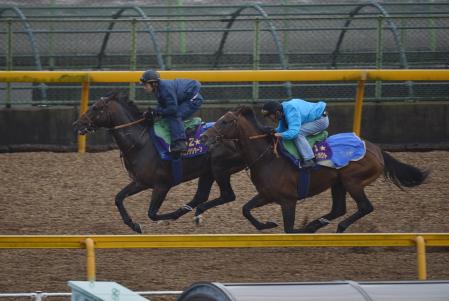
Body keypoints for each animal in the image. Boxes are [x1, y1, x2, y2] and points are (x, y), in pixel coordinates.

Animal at [72, 91, 245, 232]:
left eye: (96, 107)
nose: (77, 124)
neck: (141, 143)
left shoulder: (162, 185)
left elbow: (152, 214)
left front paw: (162, 221)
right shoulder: (141, 182)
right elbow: (118, 198)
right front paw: (133, 225)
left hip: (219, 168)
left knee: (228, 195)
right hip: (207, 172)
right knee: (201, 196)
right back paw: (193, 213)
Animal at [200, 105, 428, 232]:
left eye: (225, 121)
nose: (204, 136)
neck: (268, 158)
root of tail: (376, 149)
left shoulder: (288, 200)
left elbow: (289, 229)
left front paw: (295, 228)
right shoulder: (267, 195)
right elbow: (246, 209)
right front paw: (267, 225)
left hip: (353, 181)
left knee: (365, 207)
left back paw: (337, 227)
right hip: (338, 183)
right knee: (339, 208)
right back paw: (314, 225)